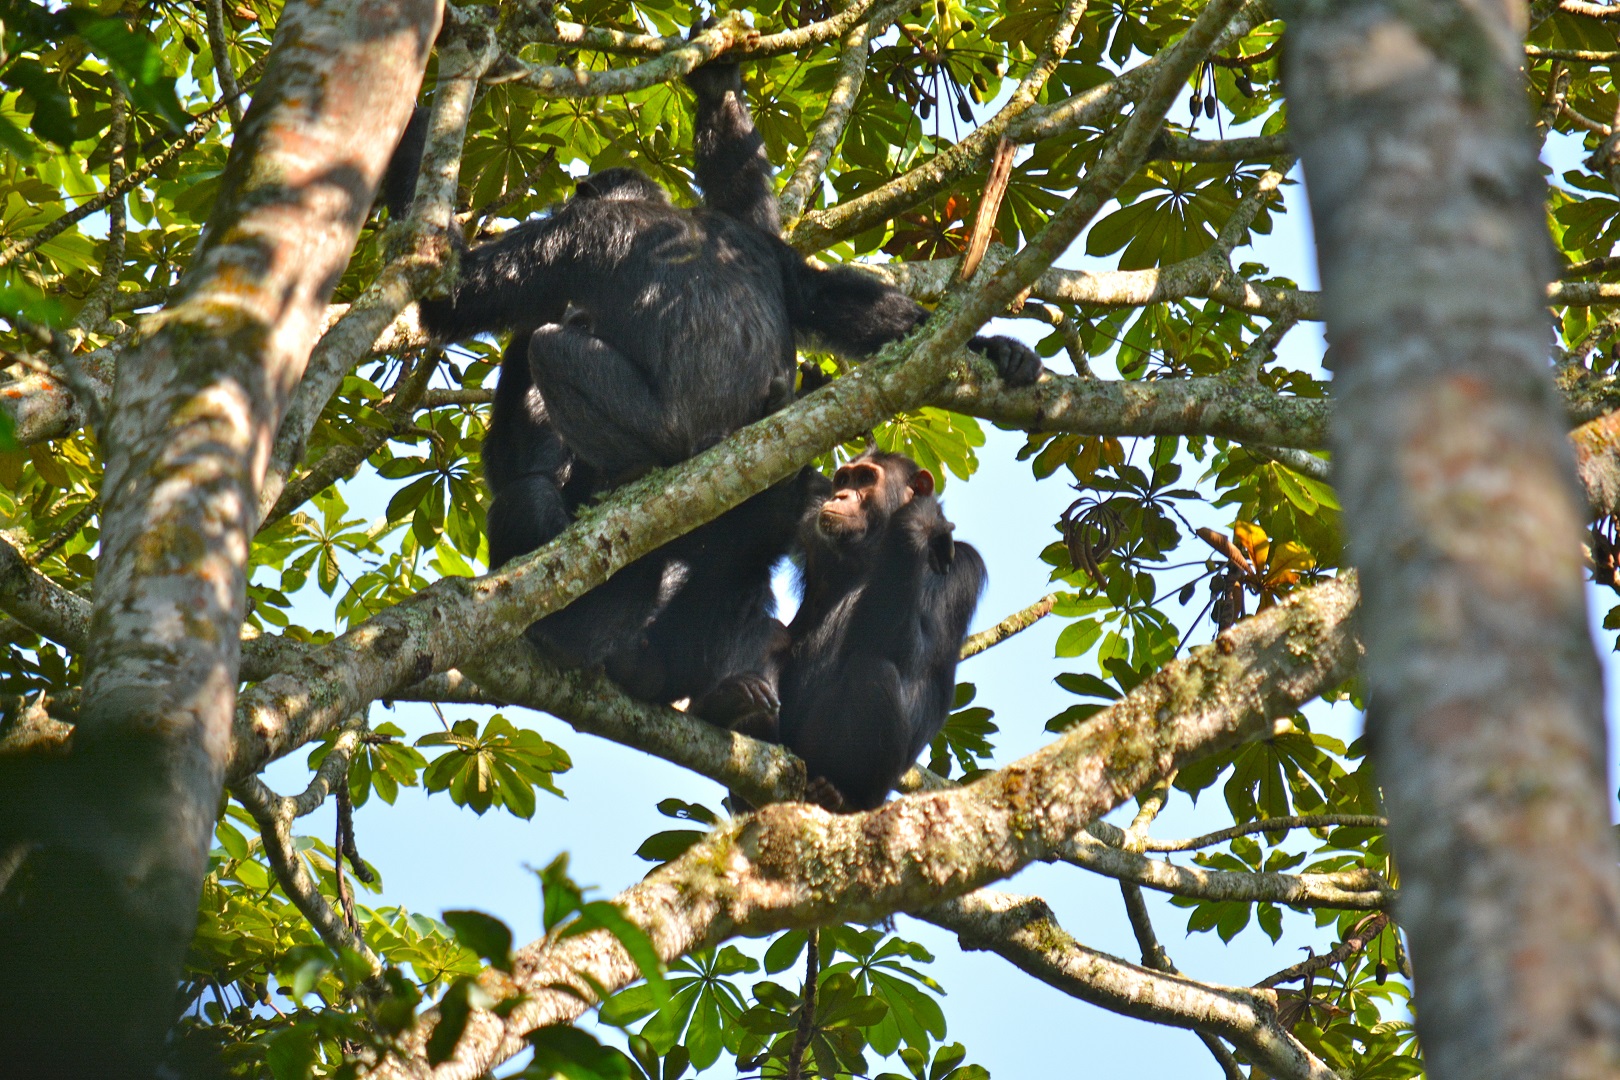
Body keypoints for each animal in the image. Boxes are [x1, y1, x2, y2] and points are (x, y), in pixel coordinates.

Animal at [774, 446, 978, 809]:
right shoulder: (812, 520)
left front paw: (917, 520)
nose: (841, 495)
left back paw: (839, 794)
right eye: (843, 480)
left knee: (873, 669)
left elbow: (915, 653)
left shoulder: (964, 569)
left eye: (866, 478)